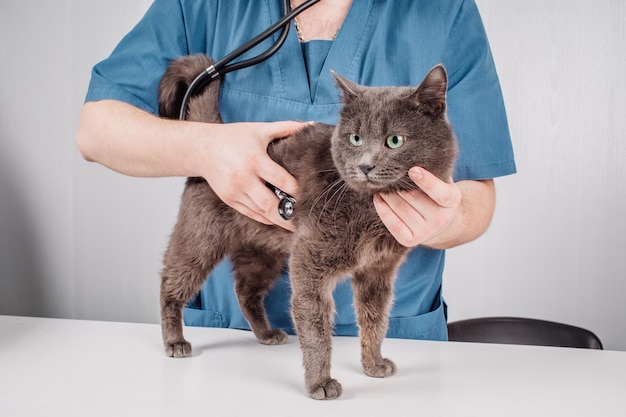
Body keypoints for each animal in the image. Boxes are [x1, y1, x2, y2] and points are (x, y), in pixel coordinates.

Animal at [158, 53, 456, 398]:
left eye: (394, 140)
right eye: (355, 138)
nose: (365, 165)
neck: (371, 211)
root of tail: (217, 136)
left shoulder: (377, 271)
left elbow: (374, 319)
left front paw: (373, 364)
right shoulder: (310, 261)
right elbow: (315, 325)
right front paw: (320, 383)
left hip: (263, 251)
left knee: (245, 289)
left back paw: (266, 333)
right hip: (202, 235)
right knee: (171, 279)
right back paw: (175, 340)